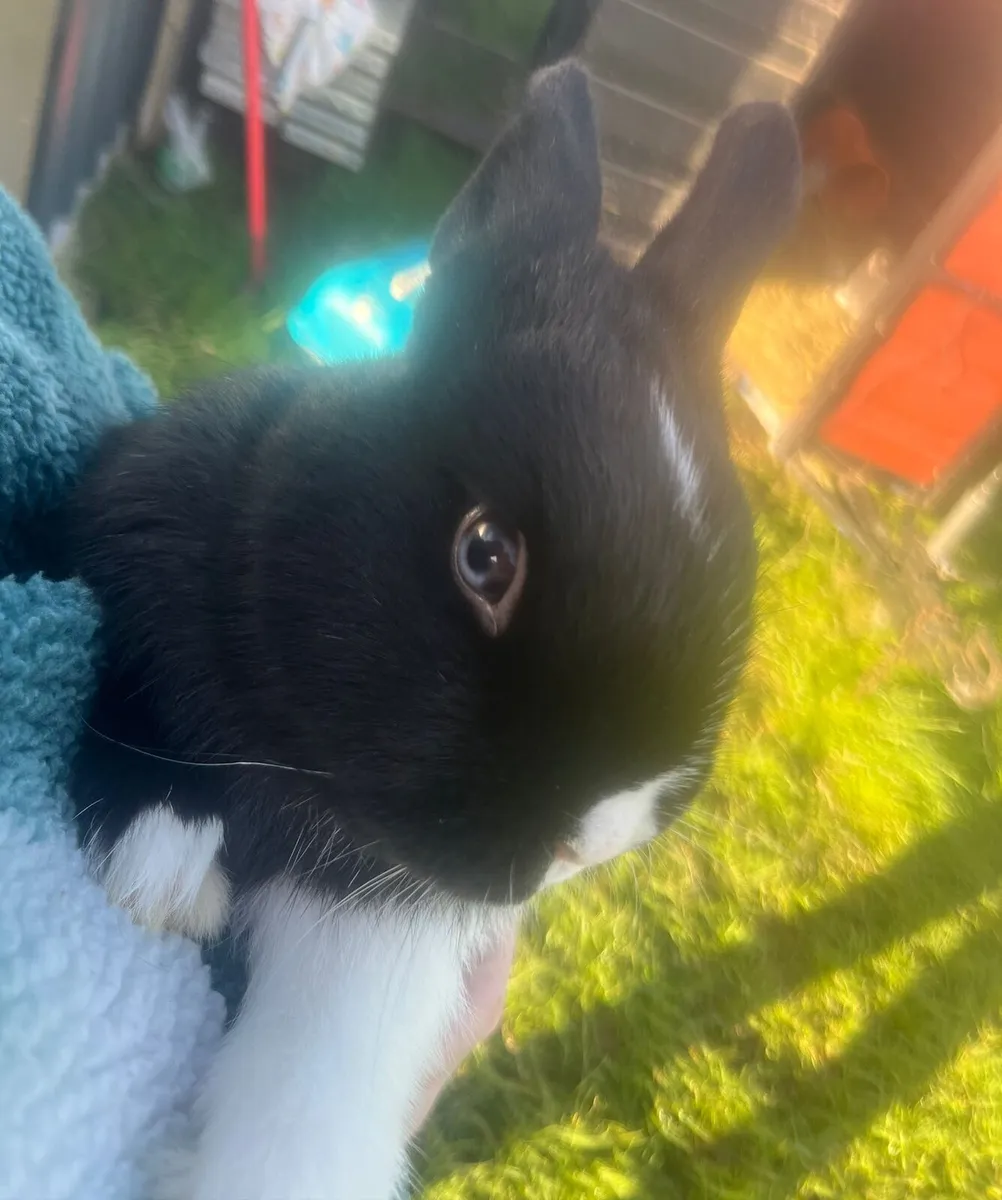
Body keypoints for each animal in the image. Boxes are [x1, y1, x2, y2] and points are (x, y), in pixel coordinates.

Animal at [65, 61, 800, 1200]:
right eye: (484, 554)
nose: (586, 841)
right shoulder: (130, 524)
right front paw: (165, 866)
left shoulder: (377, 919)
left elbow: (313, 1091)